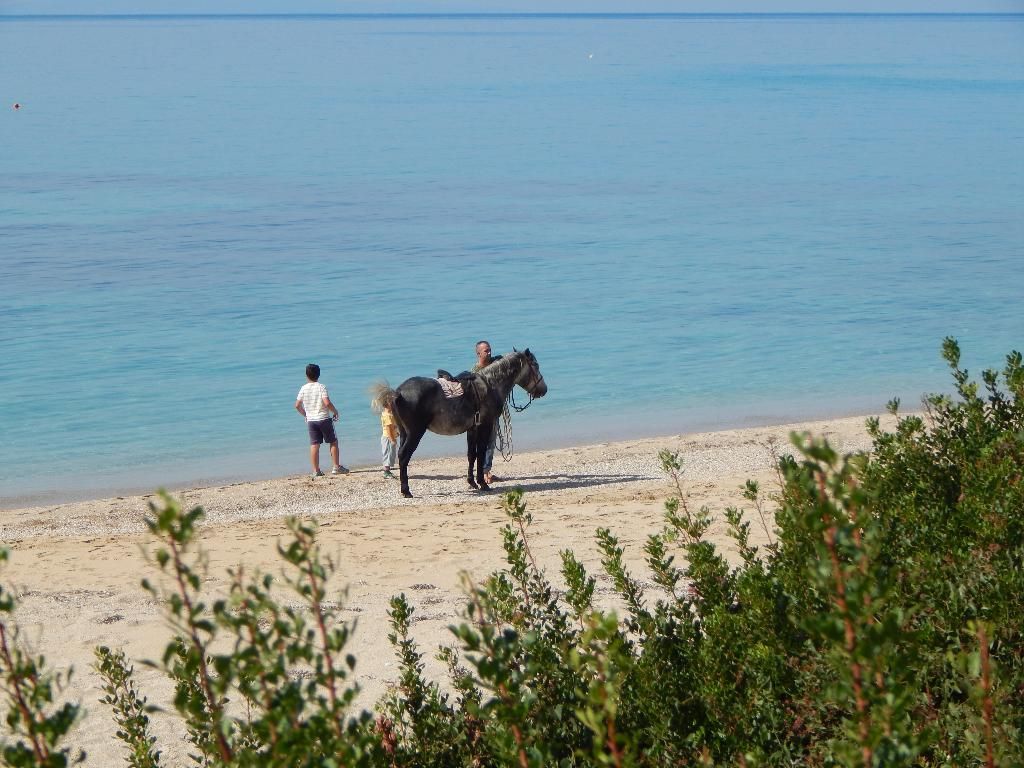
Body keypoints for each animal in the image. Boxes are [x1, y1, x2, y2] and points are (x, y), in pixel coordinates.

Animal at [369, 349, 547, 498]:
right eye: (536, 365)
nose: (544, 390)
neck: (491, 384)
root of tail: (397, 392)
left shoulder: (472, 429)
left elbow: (471, 455)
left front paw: (472, 482)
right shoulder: (485, 426)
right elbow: (481, 454)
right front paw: (482, 484)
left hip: (404, 432)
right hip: (415, 433)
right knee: (404, 456)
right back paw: (406, 491)